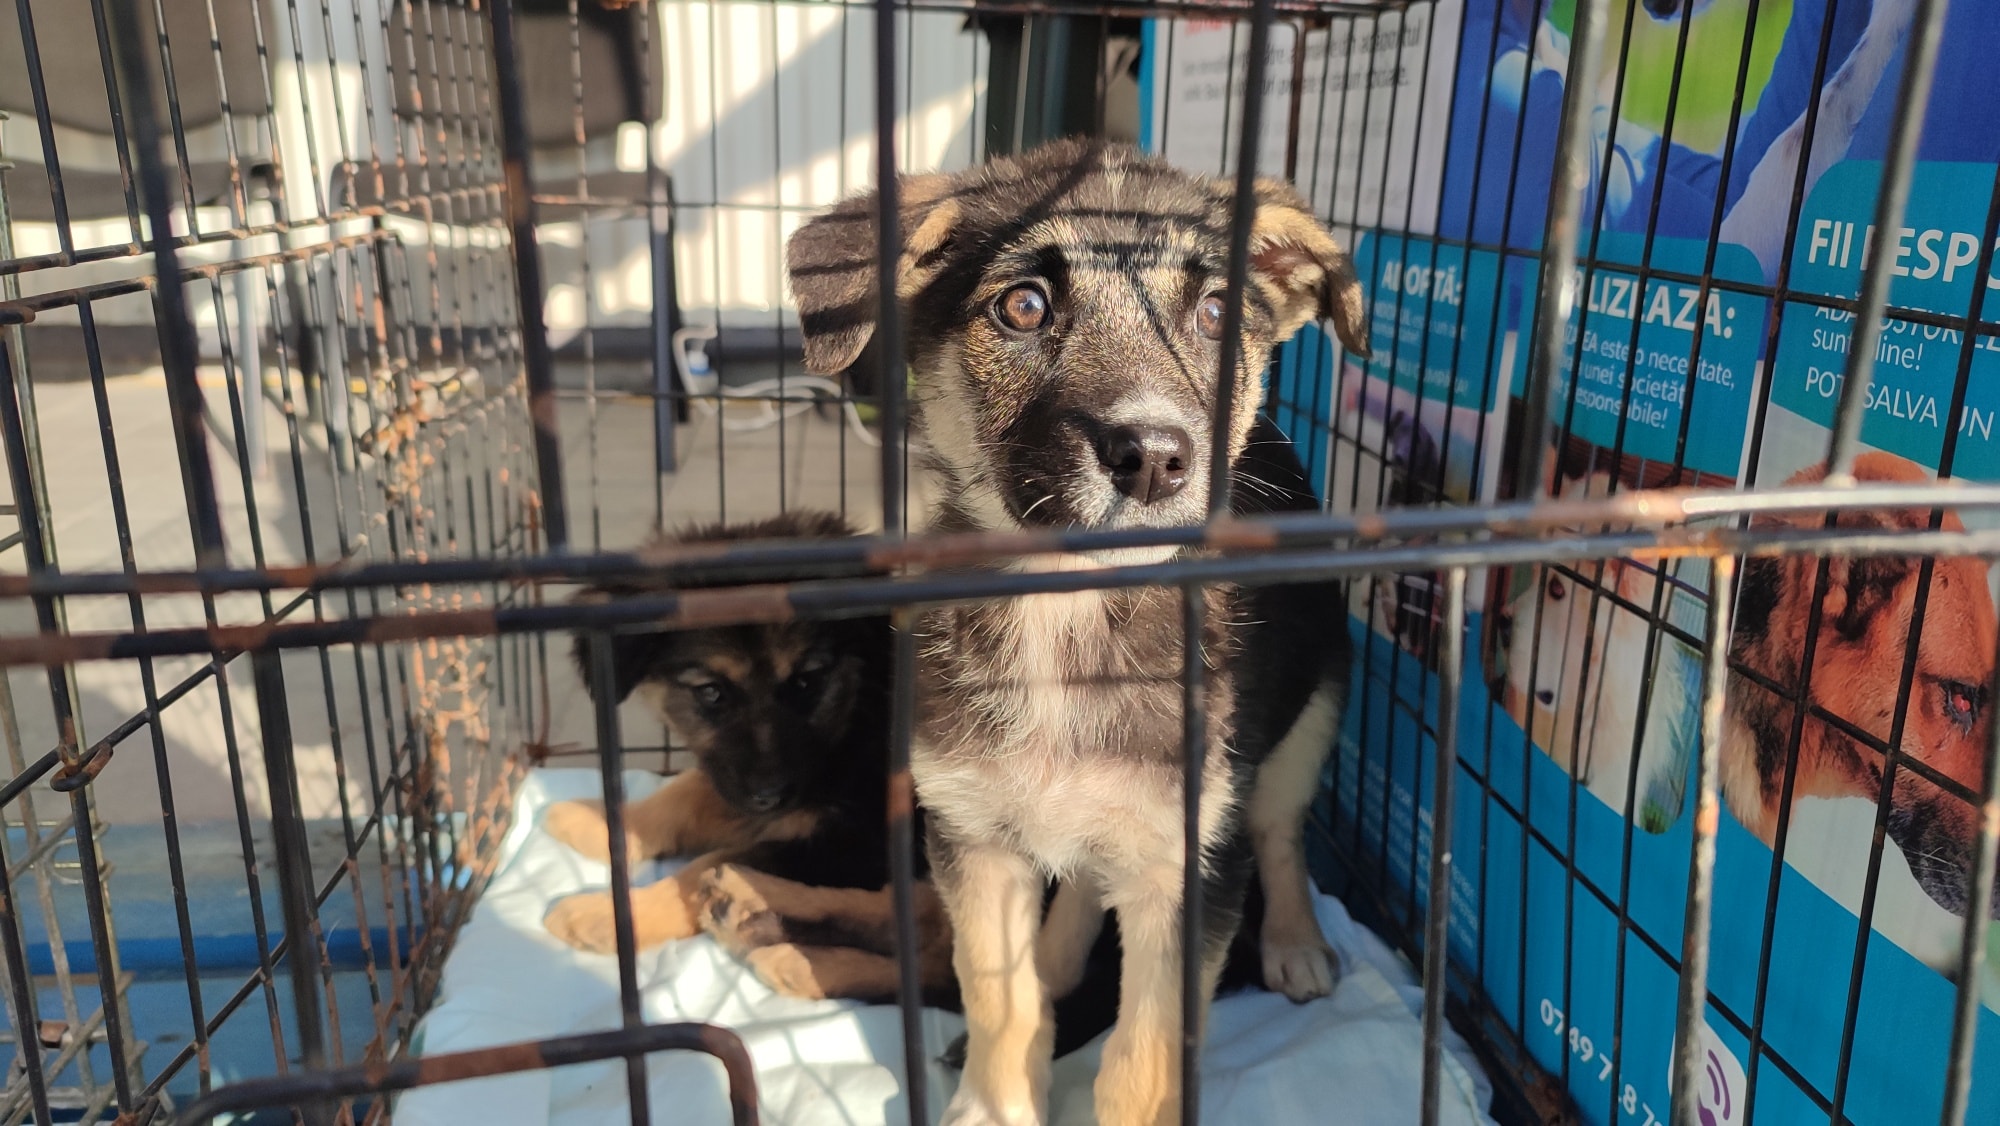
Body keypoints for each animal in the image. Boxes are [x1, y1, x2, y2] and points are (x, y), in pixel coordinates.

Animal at [786, 137, 1367, 1125]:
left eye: (1217, 312)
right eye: (1023, 307)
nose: (1157, 458)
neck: (1069, 615)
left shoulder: (1185, 867)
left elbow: (1140, 1061)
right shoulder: (973, 835)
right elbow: (1001, 1001)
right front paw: (994, 1100)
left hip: (1310, 714)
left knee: (1281, 833)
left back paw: (1294, 942)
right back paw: (1058, 966)